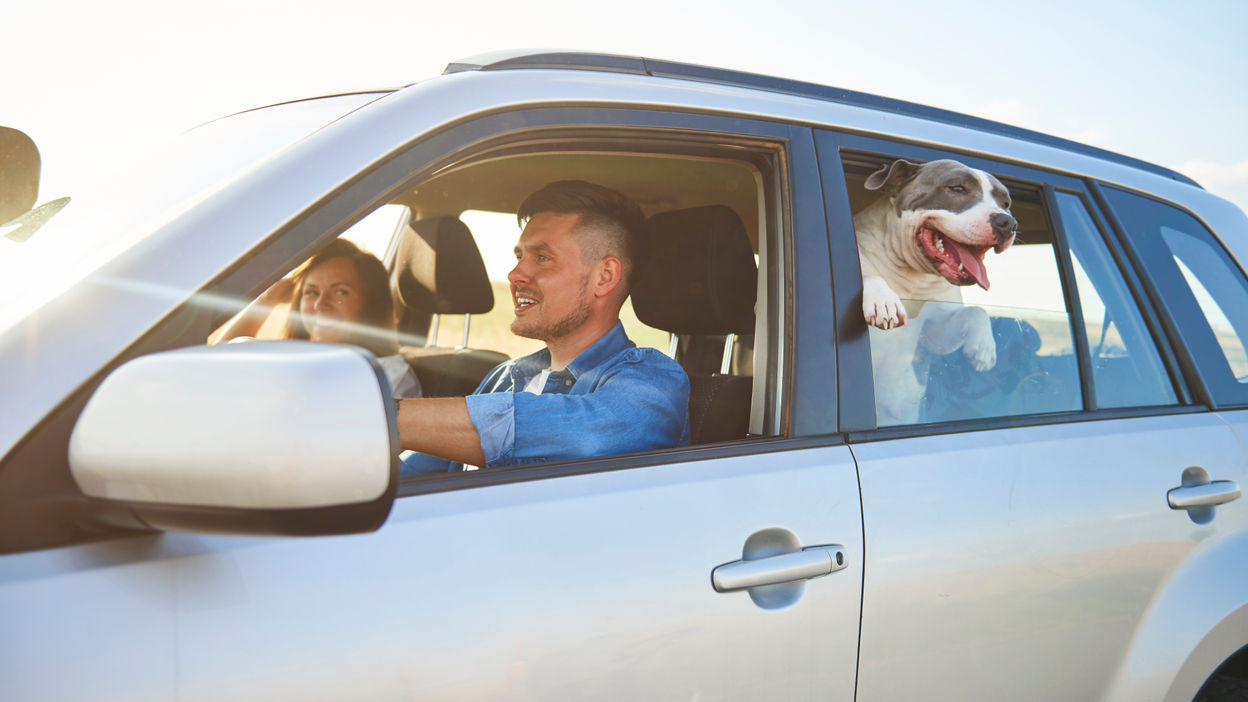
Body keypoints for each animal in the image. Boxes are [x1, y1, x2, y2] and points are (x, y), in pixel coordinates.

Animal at [853, 158, 1018, 424]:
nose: (1008, 222)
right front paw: (884, 302)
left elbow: (976, 312)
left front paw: (983, 347)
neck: (913, 277)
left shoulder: (933, 334)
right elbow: (870, 276)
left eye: (1005, 204)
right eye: (958, 188)